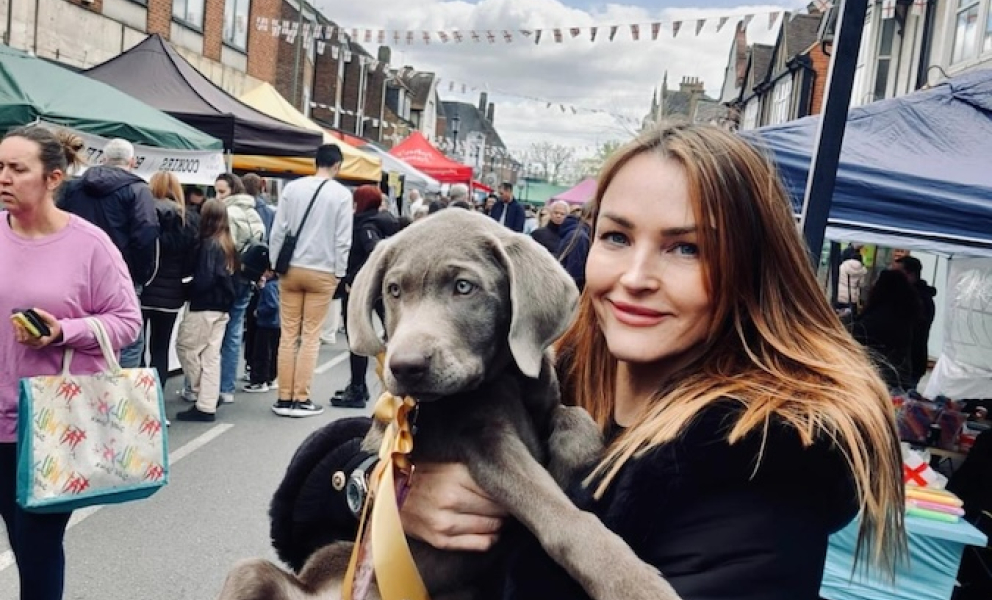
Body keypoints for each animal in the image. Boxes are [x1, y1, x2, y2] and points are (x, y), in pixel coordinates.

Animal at [217, 211, 680, 600]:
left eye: (463, 287)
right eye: (393, 290)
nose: (405, 367)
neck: (504, 381)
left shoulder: (543, 399)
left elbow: (576, 418)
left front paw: (574, 462)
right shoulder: (481, 442)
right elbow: (555, 511)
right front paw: (632, 583)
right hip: (252, 572)